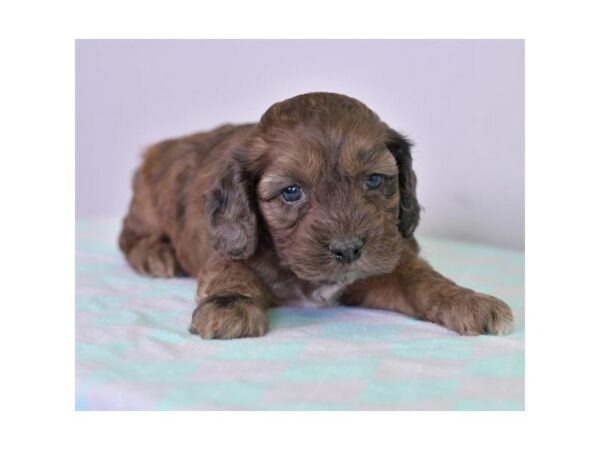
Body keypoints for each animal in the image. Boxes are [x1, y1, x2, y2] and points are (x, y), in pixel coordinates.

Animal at [119, 93, 512, 340]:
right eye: (291, 192)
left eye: (374, 180)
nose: (348, 249)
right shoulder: (229, 245)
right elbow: (231, 273)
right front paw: (229, 307)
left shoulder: (387, 264)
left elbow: (424, 281)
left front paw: (468, 300)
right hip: (147, 204)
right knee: (128, 236)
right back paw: (156, 254)